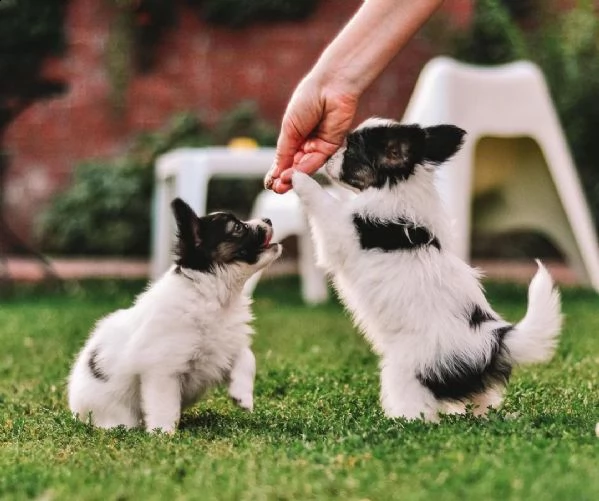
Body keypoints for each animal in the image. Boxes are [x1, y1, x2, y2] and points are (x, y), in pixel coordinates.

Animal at [67, 197, 282, 432]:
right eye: (237, 228)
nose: (268, 219)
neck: (213, 294)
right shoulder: (163, 369)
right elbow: (164, 405)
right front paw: (163, 433)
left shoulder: (227, 342)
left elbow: (247, 356)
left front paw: (242, 395)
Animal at [290, 119, 564, 420]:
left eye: (351, 150)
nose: (327, 156)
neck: (398, 187)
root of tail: (493, 341)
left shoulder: (341, 231)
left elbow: (323, 201)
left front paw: (298, 175)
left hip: (405, 372)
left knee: (419, 411)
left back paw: (402, 420)